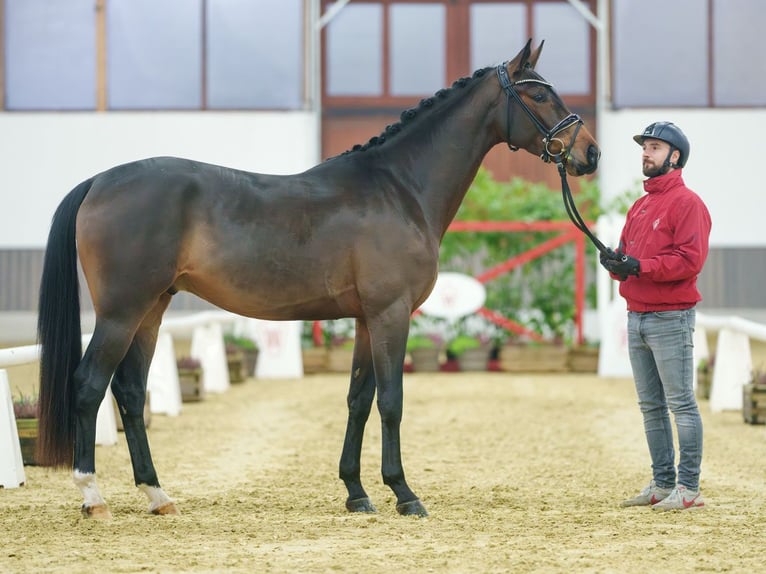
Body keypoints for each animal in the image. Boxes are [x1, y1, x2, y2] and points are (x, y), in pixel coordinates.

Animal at [36, 38, 600, 520]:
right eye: (539, 94)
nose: (590, 154)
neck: (400, 188)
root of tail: (99, 181)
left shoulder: (368, 319)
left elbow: (359, 401)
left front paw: (356, 492)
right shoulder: (391, 313)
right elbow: (391, 401)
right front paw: (404, 494)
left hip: (151, 310)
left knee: (130, 392)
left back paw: (158, 495)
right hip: (121, 312)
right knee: (89, 385)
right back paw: (92, 496)